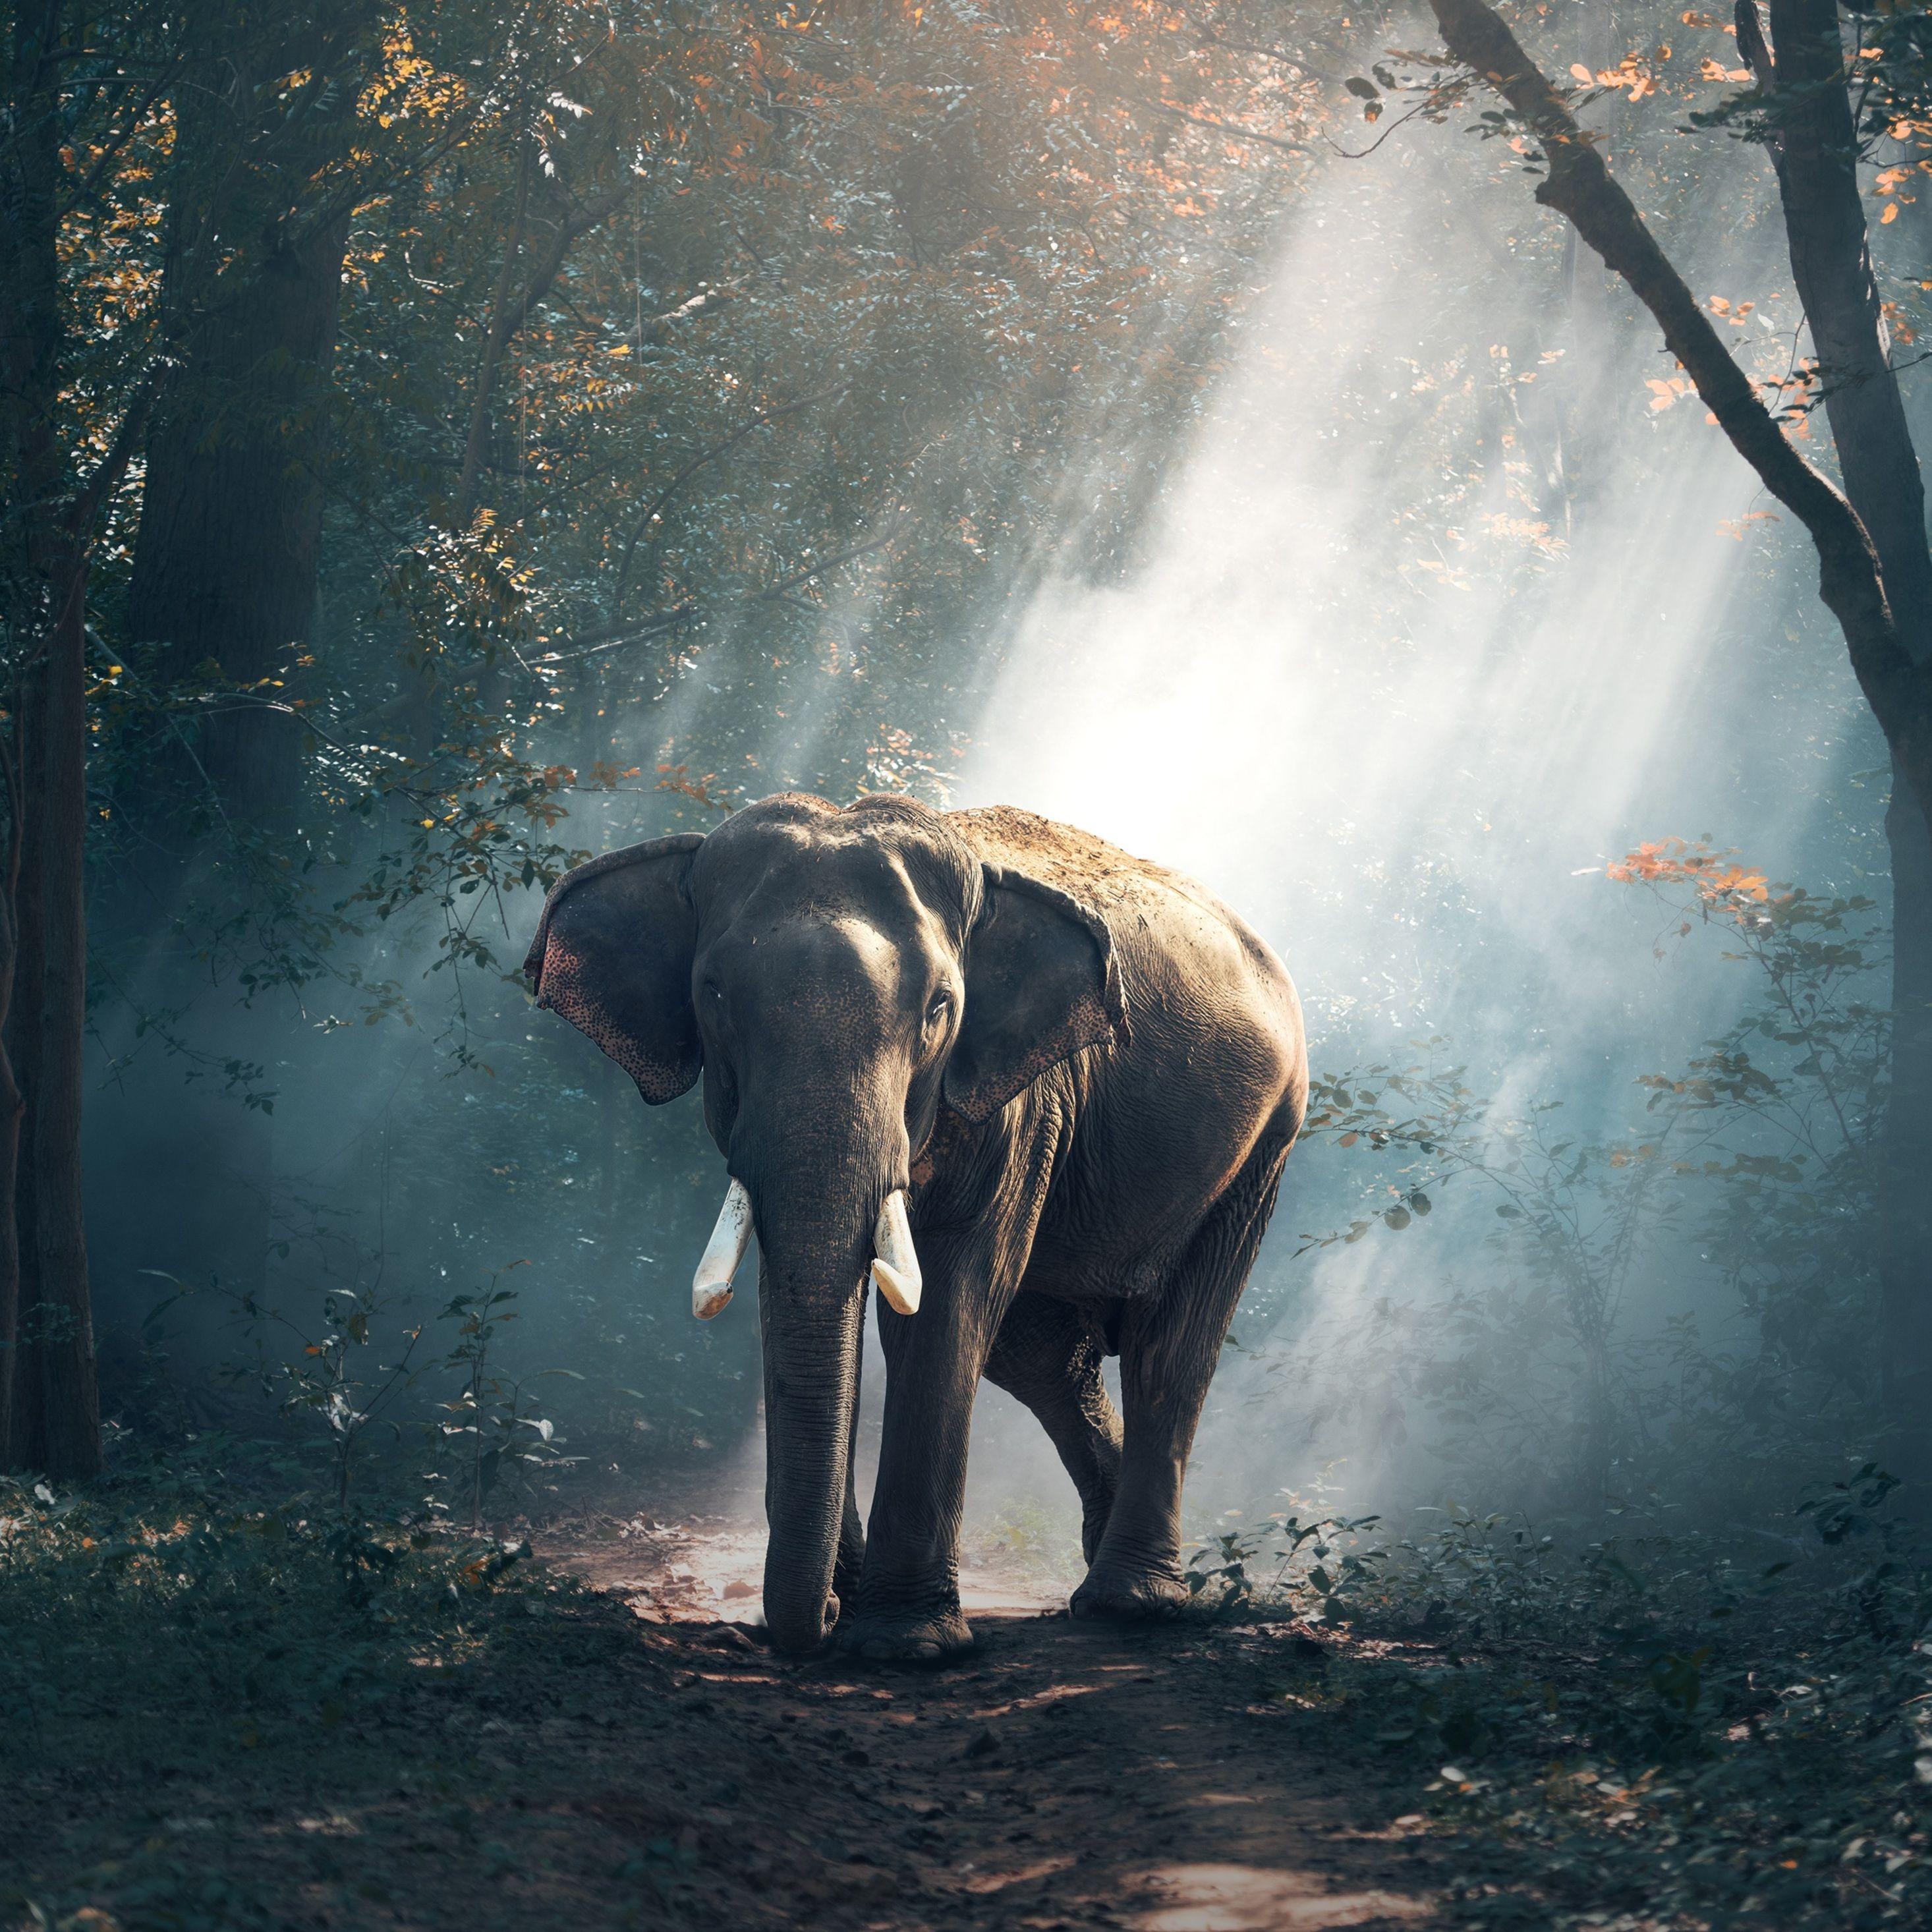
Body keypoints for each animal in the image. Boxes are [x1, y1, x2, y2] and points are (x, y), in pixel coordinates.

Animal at [523, 792, 1306, 1659]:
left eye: (939, 1008)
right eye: (714, 995)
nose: (821, 1617)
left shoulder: (1021, 1101)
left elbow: (948, 1299)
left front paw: (905, 1644)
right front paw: (852, 1605)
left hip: (1264, 1144)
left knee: (1171, 1347)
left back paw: (1130, 1603)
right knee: (1043, 1357)